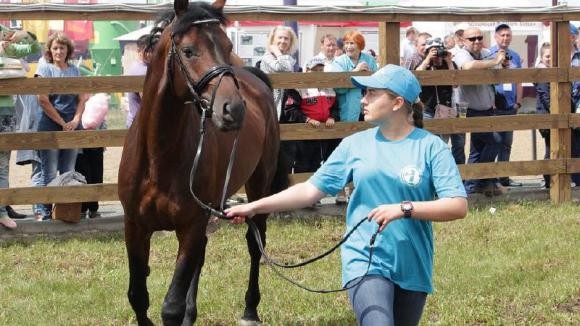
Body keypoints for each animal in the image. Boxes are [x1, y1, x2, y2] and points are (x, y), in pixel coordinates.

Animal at [117, 1, 288, 324]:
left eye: (228, 45)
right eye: (188, 50)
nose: (233, 109)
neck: (158, 158)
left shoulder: (191, 225)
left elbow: (171, 305)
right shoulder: (135, 226)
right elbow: (137, 296)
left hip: (259, 186)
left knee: (254, 242)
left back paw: (250, 310)